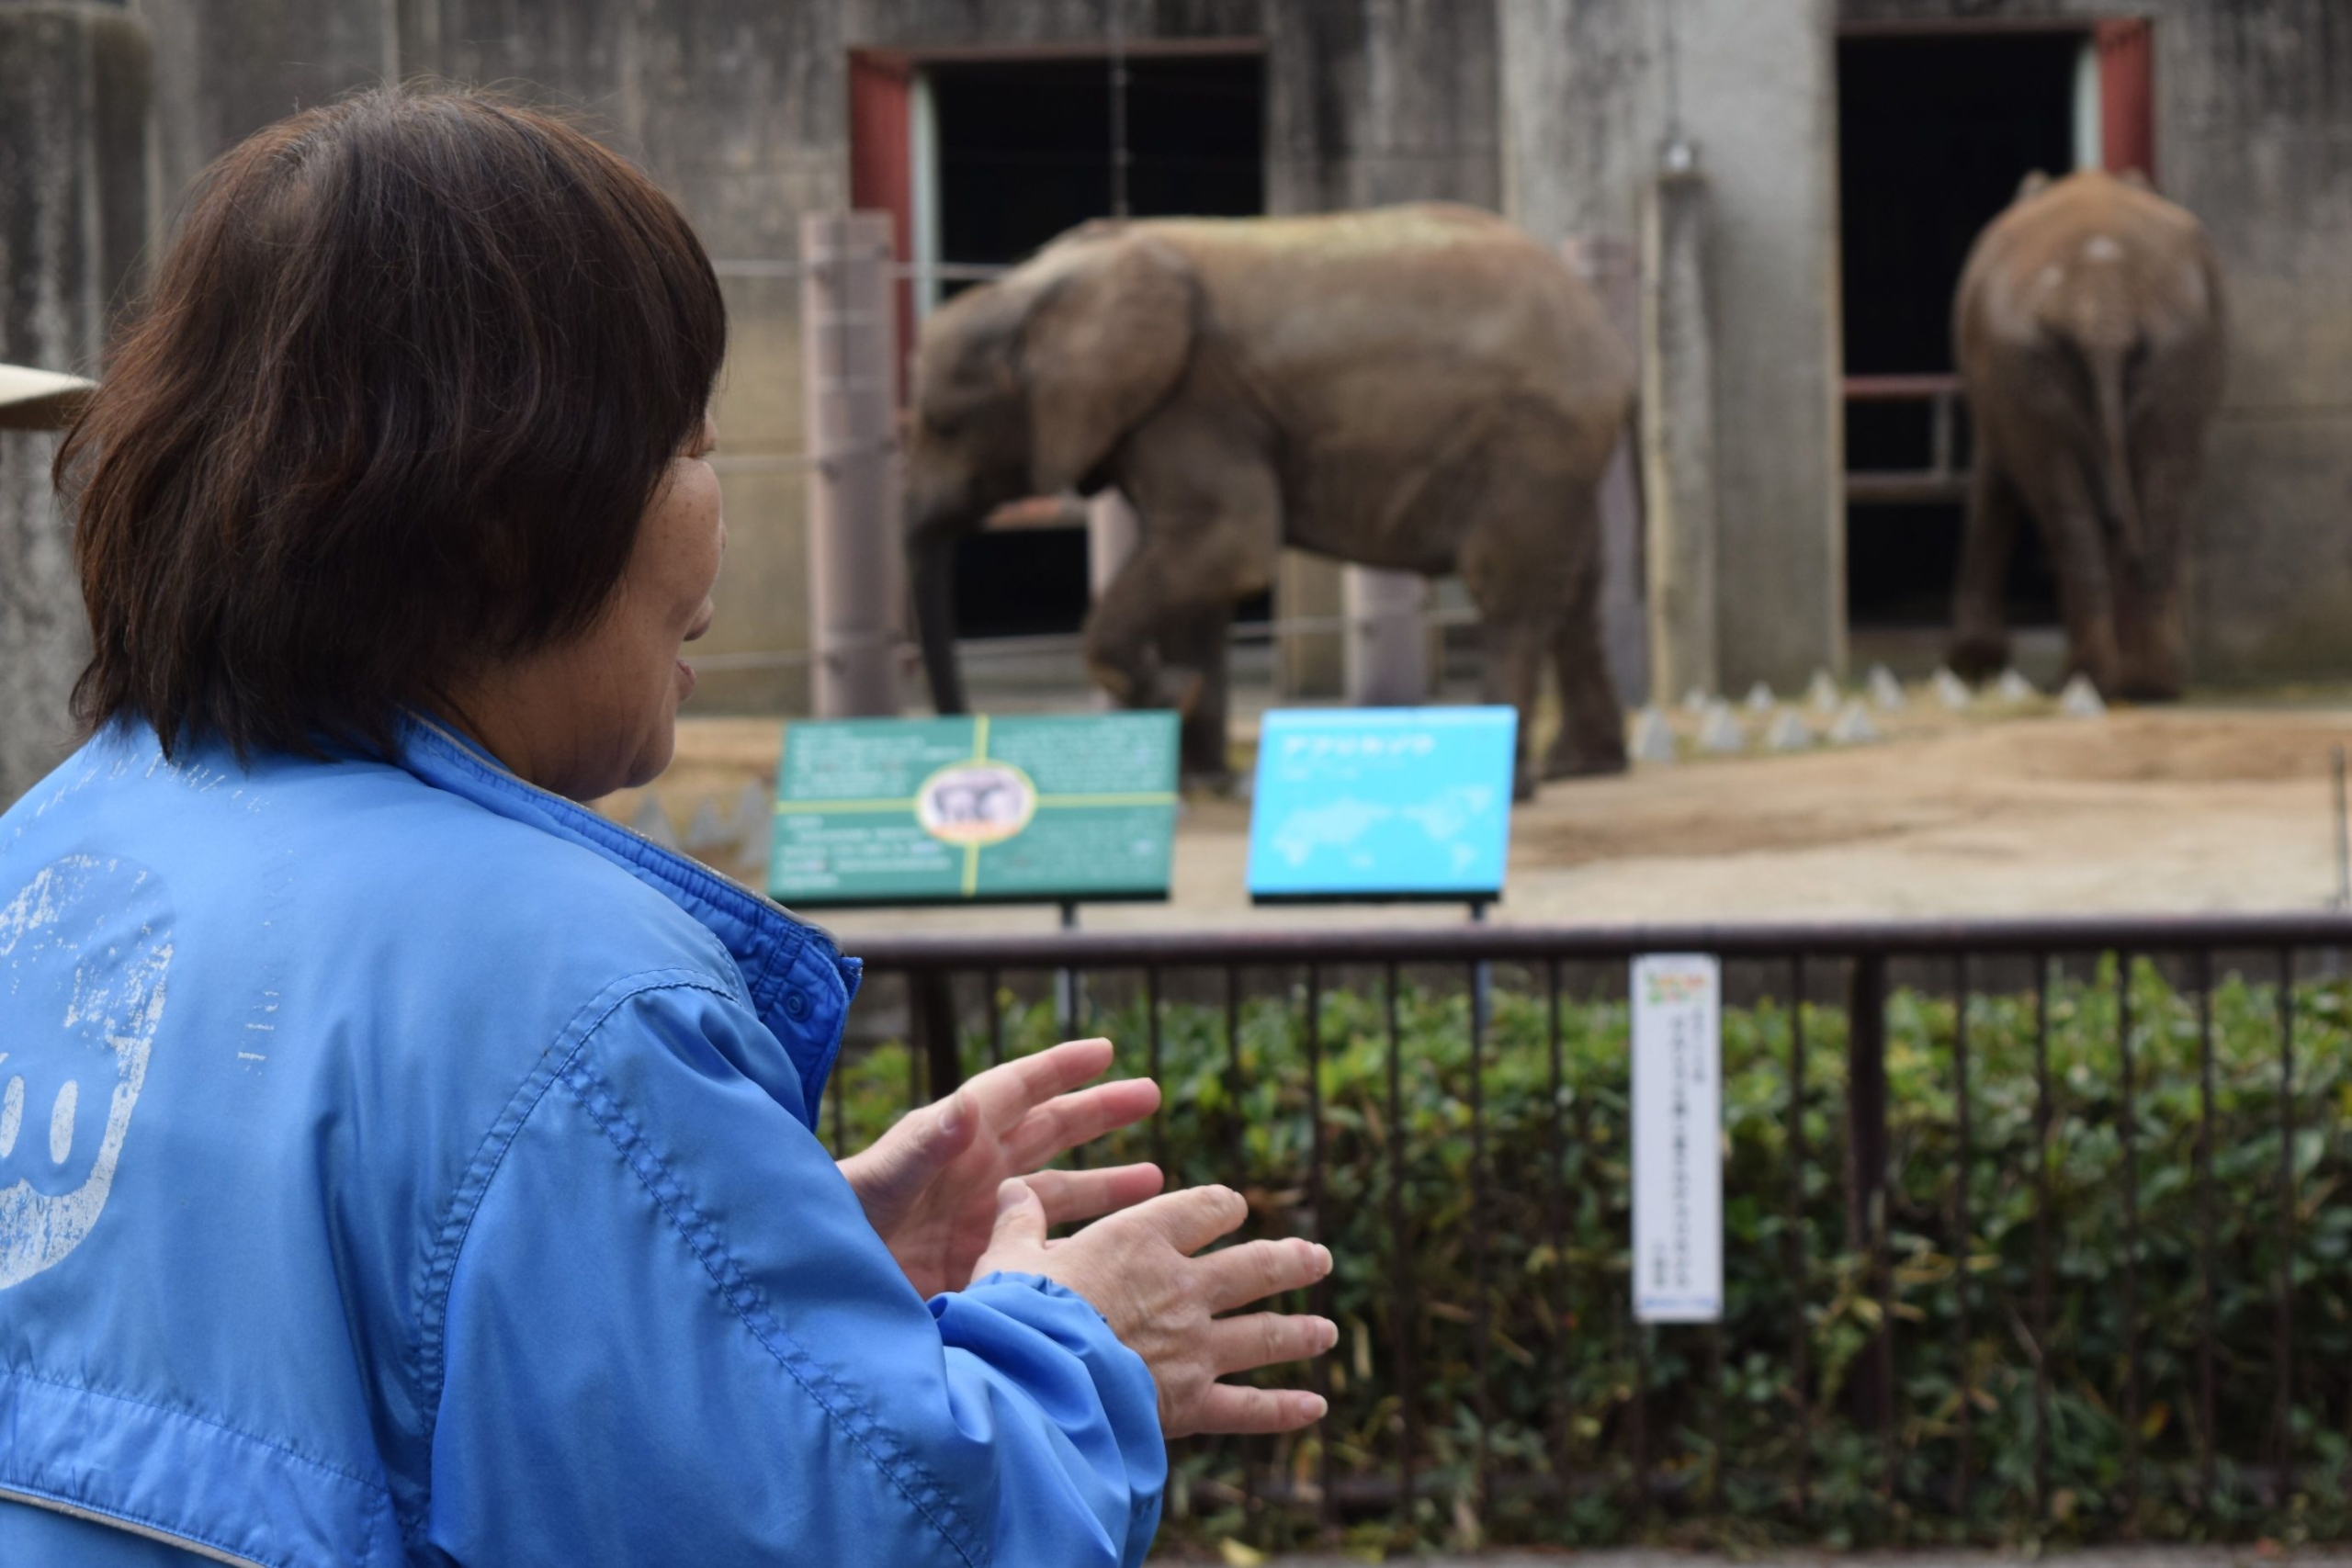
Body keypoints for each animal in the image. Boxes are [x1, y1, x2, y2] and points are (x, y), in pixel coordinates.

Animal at [903, 205, 1636, 799]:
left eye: (943, 426)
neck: (1038, 287)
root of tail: (1602, 326)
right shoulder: (1167, 410)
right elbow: (1196, 573)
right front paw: (1198, 775)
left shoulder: (1197, 401)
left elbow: (1228, 548)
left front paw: (1173, 695)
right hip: (1559, 452)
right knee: (1577, 590)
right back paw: (1583, 767)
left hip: (1533, 437)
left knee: (1509, 588)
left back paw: (1511, 788)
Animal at [1947, 166, 2220, 700]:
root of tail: (2102, 292)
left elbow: (1993, 475)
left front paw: (1973, 664)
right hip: (2171, 355)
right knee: (2159, 489)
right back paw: (2147, 682)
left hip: (2042, 362)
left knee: (2066, 501)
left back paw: (2091, 678)